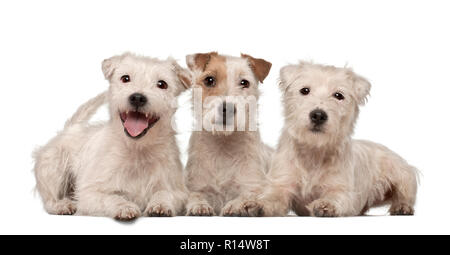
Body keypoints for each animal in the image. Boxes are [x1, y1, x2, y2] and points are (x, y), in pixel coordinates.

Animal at [33, 52, 192, 220]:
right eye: (125, 78)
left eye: (162, 84)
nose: (137, 97)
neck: (137, 151)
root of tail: (71, 128)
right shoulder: (90, 193)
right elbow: (111, 197)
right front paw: (124, 207)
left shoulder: (177, 190)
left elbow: (164, 193)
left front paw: (160, 205)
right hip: (53, 167)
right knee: (49, 199)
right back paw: (61, 205)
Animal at [184, 52, 274, 216]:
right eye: (209, 80)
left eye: (244, 82)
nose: (227, 108)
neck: (223, 144)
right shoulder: (197, 186)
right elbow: (195, 195)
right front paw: (199, 206)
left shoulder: (253, 185)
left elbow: (248, 195)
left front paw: (237, 206)